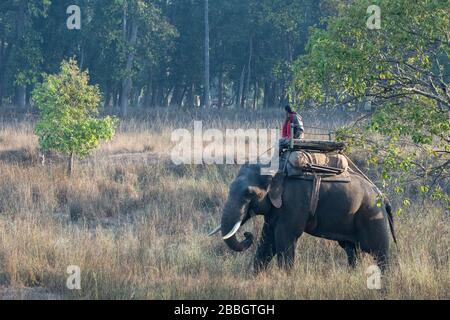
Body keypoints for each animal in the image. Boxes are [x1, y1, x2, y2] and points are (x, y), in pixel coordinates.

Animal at [209, 165, 396, 272]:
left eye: (249, 193)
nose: (247, 234)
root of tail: (384, 198)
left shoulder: (294, 201)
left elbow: (284, 237)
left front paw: (286, 277)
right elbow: (267, 241)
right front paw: (255, 276)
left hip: (371, 215)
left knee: (379, 252)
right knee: (351, 250)